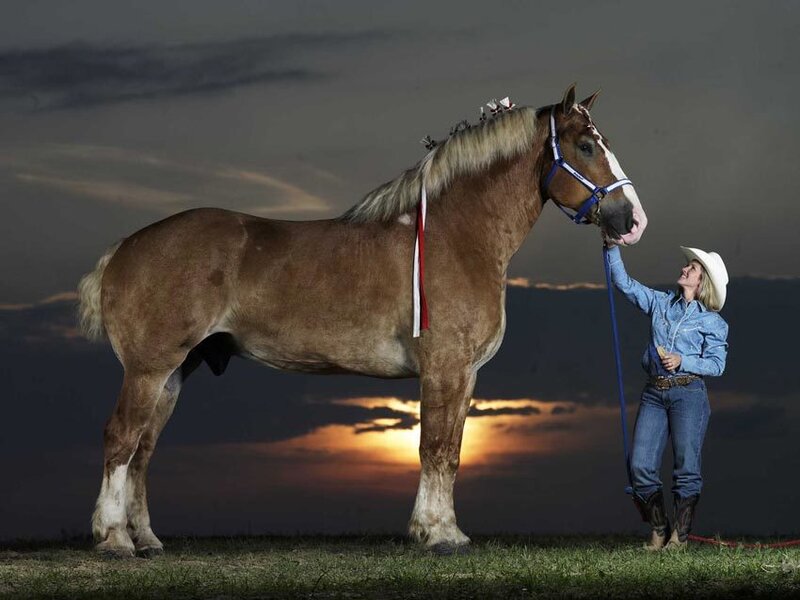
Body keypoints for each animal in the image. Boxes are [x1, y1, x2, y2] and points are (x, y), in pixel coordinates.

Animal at [77, 84, 647, 557]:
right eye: (587, 147)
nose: (633, 221)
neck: (457, 235)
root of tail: (125, 248)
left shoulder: (465, 375)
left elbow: (453, 451)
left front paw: (447, 531)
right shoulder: (444, 368)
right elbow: (434, 448)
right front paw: (435, 535)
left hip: (174, 373)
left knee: (144, 450)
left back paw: (147, 539)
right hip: (149, 369)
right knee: (121, 438)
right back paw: (114, 540)